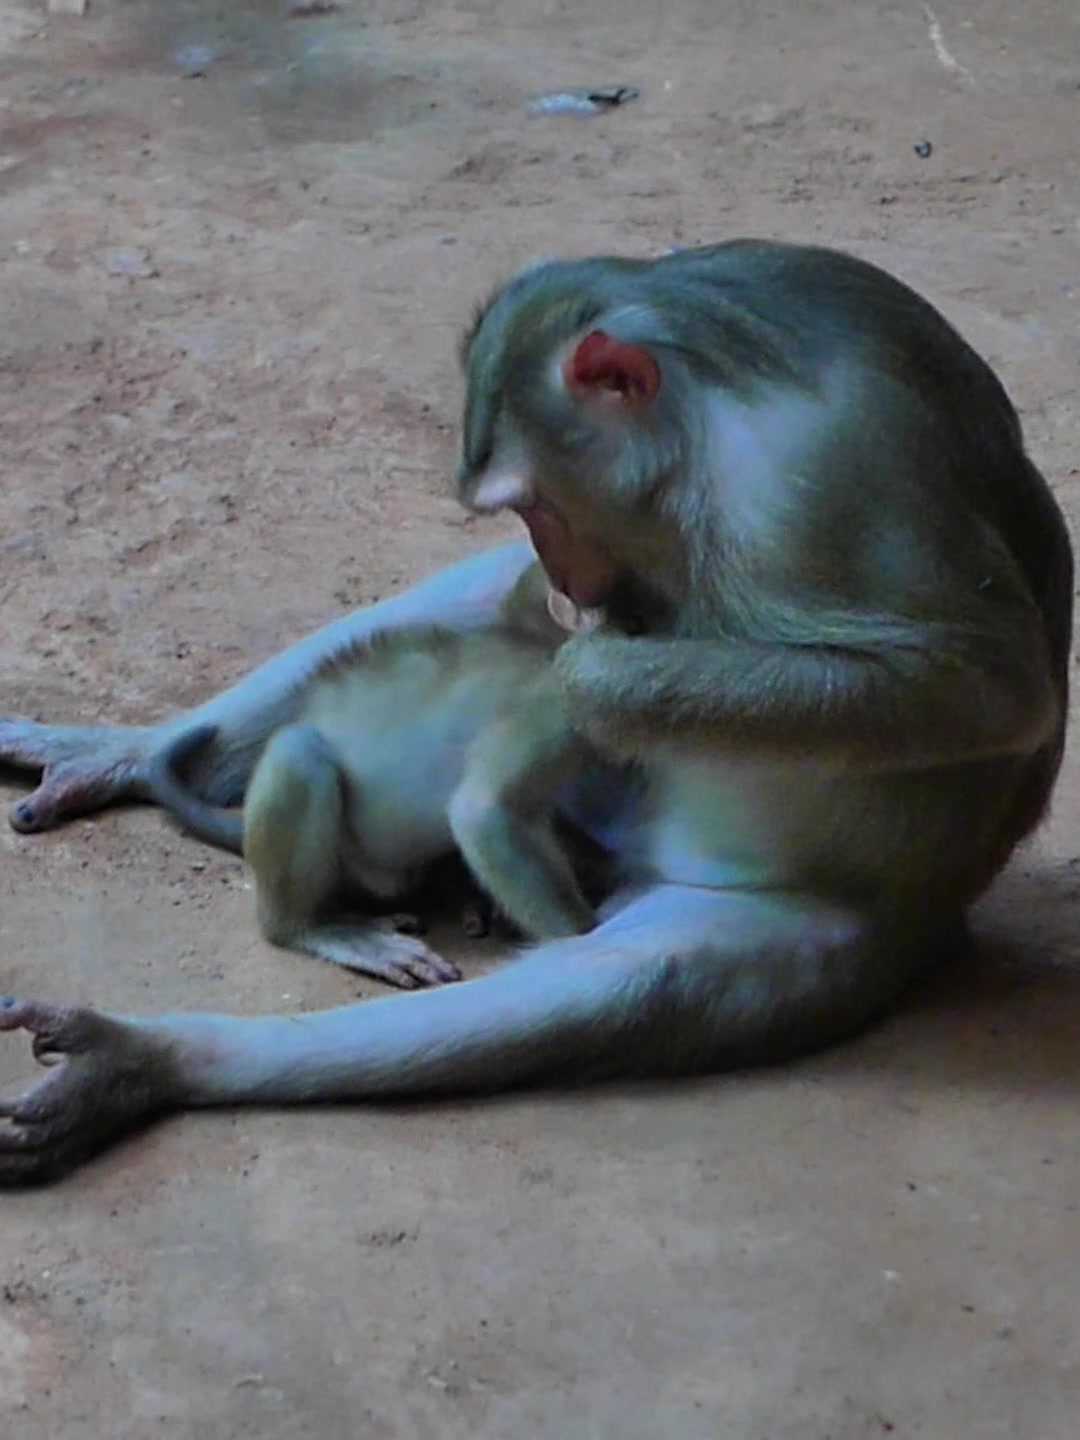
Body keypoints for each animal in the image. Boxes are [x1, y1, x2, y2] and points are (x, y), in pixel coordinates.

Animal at [142, 560, 615, 990]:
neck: (532, 635)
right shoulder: (560, 702)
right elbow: (484, 811)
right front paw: (587, 941)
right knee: (299, 754)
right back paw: (314, 928)